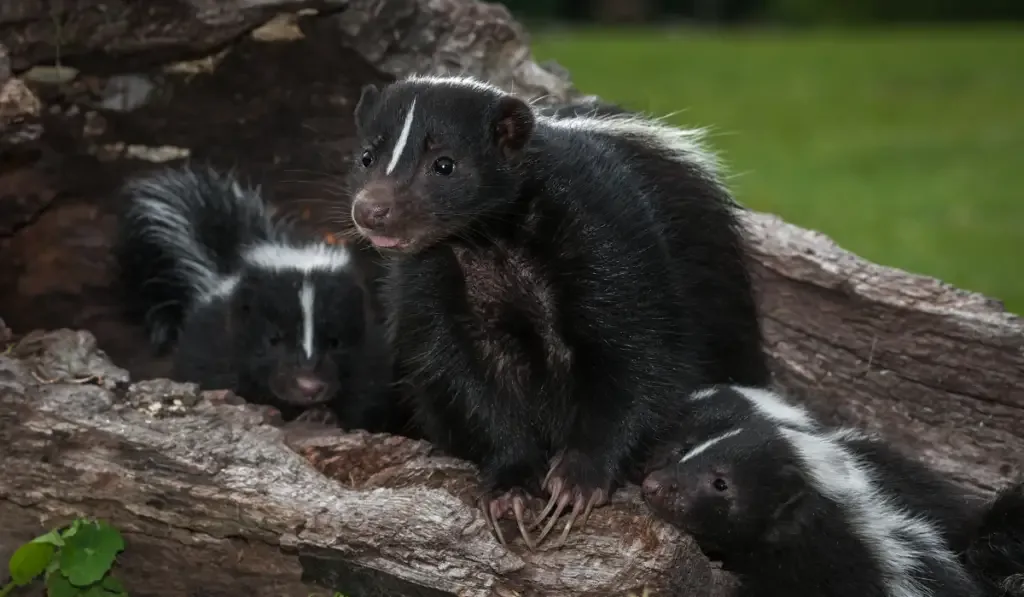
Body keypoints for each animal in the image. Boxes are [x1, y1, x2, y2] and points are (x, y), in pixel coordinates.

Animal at [110, 163, 401, 430]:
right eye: (273, 340)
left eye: (335, 342)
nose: (308, 387)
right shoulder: (219, 353)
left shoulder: (369, 359)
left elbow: (361, 400)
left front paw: (323, 415)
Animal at [335, 72, 770, 548]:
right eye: (366, 157)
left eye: (445, 165)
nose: (372, 210)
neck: (490, 240)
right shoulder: (429, 281)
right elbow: (462, 377)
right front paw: (511, 488)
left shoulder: (605, 236)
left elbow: (639, 357)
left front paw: (577, 483)